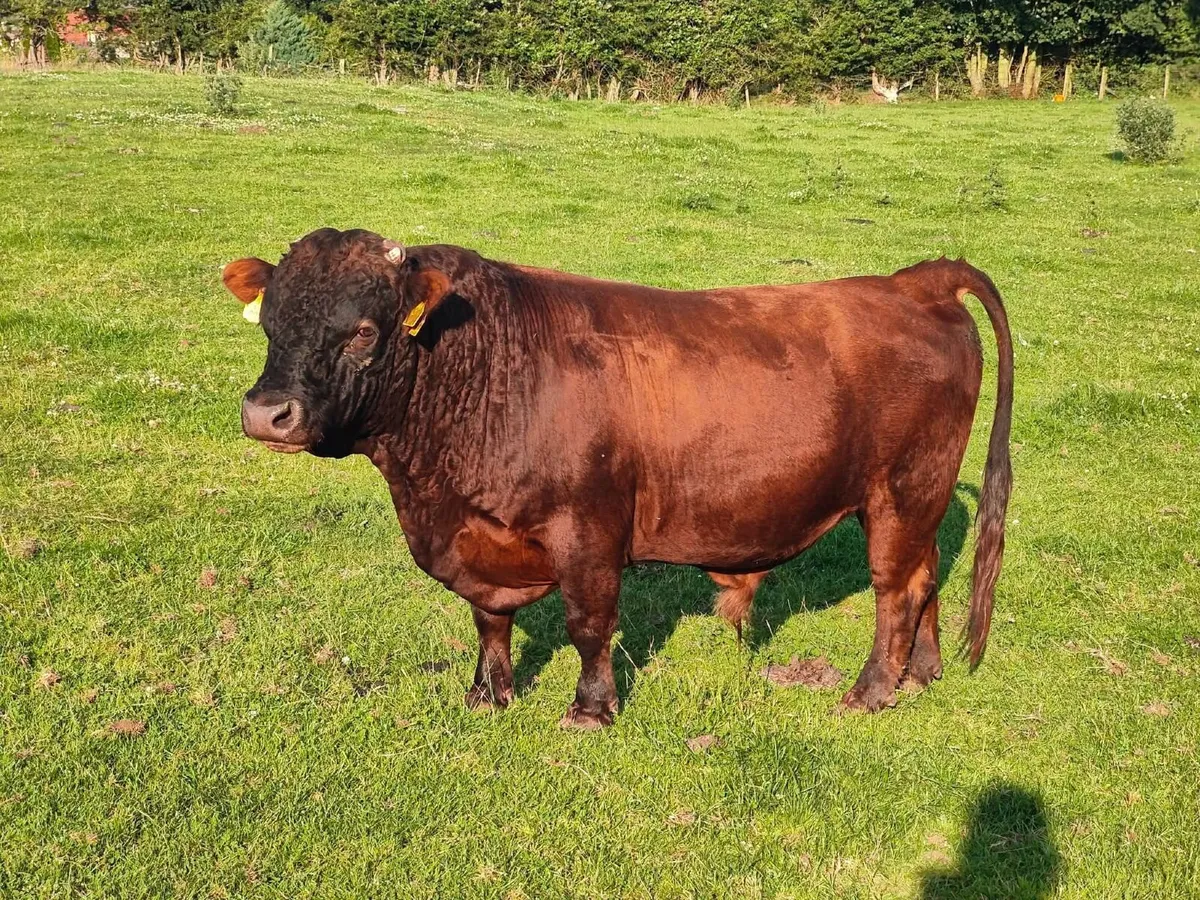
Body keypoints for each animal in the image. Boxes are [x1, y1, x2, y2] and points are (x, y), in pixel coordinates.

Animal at [222, 228, 1013, 728]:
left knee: (895, 589)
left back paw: (872, 690)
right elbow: (489, 619)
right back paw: (922, 672)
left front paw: (590, 709)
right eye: (271, 321)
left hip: (901, 491)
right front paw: (487, 696)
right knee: (927, 575)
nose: (268, 414)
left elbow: (590, 623)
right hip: (919, 498)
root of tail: (916, 281)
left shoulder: (588, 531)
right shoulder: (477, 541)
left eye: (363, 329)